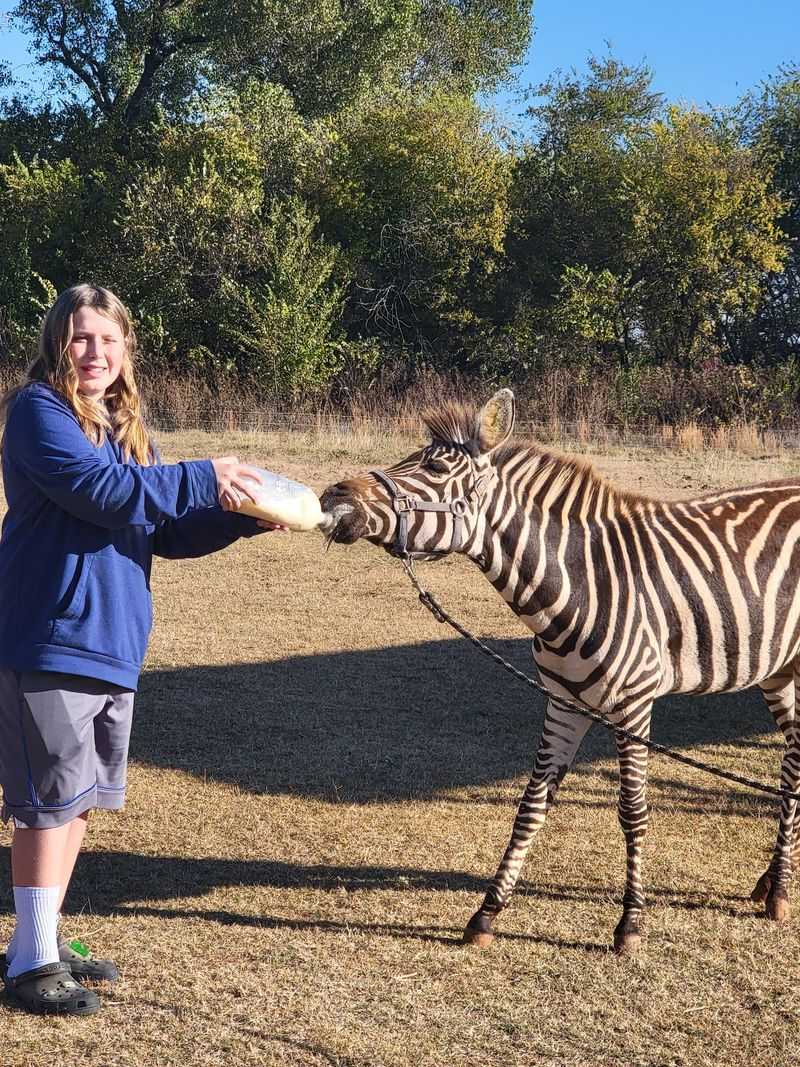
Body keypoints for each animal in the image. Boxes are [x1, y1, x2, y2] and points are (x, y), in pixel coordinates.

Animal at [320, 388, 800, 953]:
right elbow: (531, 805)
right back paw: (771, 882)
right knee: (794, 762)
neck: (578, 581)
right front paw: (486, 914)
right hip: (779, 669)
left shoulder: (634, 704)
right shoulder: (563, 702)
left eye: (434, 468)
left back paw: (778, 890)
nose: (331, 496)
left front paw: (630, 923)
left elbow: (632, 812)